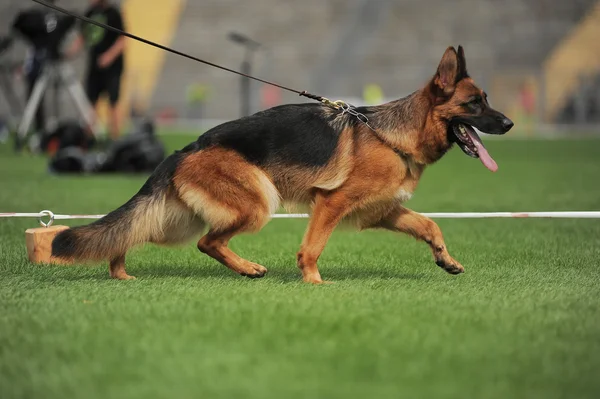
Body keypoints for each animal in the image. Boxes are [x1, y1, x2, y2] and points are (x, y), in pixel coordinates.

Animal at [51, 46, 512, 284]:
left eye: (486, 100)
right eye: (475, 104)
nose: (508, 124)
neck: (391, 134)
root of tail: (186, 149)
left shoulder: (384, 211)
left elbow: (431, 225)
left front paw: (446, 260)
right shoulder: (331, 203)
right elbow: (312, 248)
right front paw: (314, 285)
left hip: (178, 221)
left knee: (134, 232)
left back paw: (120, 272)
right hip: (257, 202)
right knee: (207, 242)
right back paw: (248, 268)